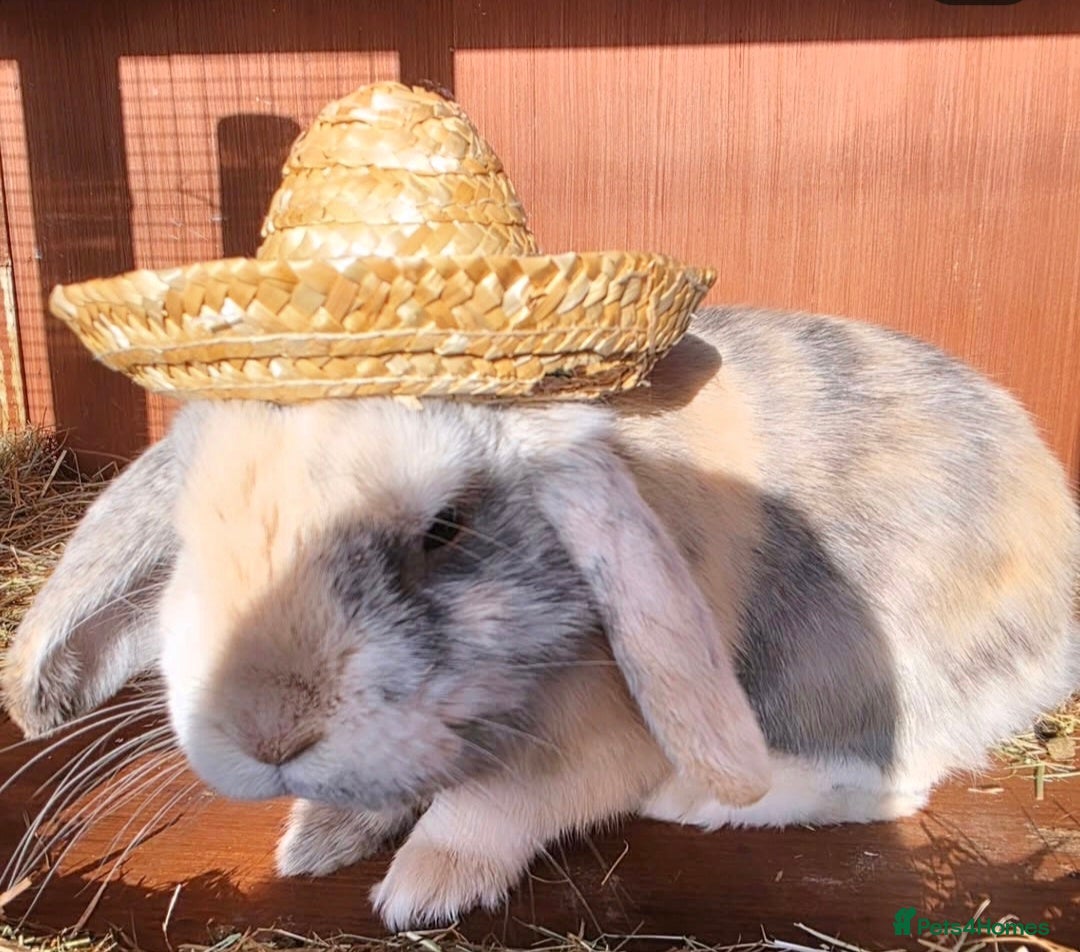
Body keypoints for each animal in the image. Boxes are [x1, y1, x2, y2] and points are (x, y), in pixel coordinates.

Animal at [3, 305, 1078, 930]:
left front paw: (419, 890)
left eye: (446, 528)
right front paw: (313, 845)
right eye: (193, 534)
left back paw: (706, 802)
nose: (266, 731)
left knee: (895, 780)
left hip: (854, 672)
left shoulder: (591, 738)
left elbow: (493, 807)